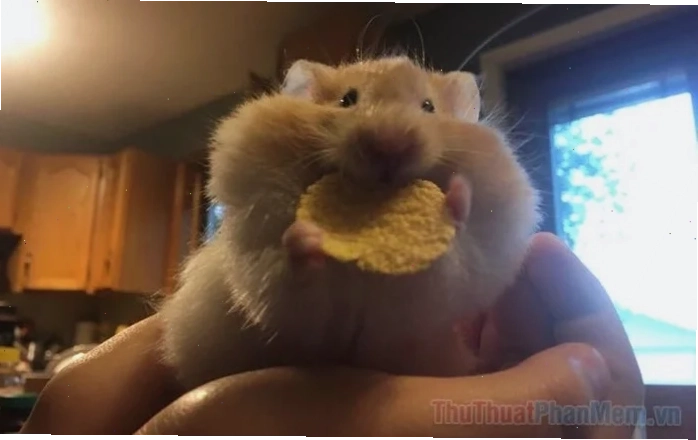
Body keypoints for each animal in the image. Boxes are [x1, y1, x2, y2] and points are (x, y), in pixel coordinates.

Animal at [158, 56, 541, 391]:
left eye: (428, 106)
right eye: (347, 100)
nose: (389, 145)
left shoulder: (415, 312)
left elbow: (442, 268)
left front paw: (457, 196)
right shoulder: (275, 287)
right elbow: (291, 286)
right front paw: (304, 235)